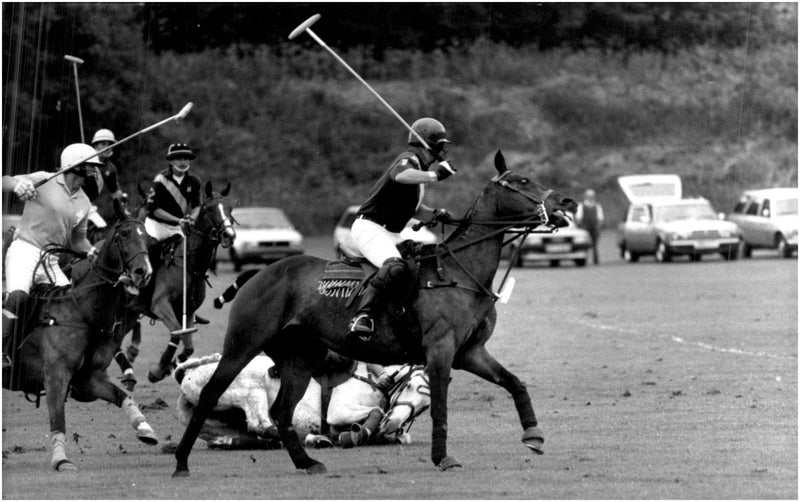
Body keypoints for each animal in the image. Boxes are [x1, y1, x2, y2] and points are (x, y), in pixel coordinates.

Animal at [1, 199, 155, 470]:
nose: (143, 272)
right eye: (123, 234)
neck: (82, 313)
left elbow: (123, 395)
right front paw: (61, 460)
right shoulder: (56, 375)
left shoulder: (88, 379)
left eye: (147, 237)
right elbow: (57, 419)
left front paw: (144, 428)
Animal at [122, 182, 234, 382]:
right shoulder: (160, 304)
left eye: (231, 208)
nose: (229, 235)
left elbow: (188, 345)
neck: (190, 266)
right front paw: (158, 369)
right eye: (210, 208)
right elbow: (176, 331)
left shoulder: (188, 311)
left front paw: (171, 365)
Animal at [172, 352, 428, 452]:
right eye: (408, 386)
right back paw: (312, 438)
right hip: (252, 390)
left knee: (235, 436)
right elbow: (374, 412)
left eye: (424, 407)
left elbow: (400, 436)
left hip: (211, 423)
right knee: (260, 423)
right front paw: (357, 434)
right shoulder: (338, 411)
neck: (372, 379)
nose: (393, 424)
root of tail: (187, 373)